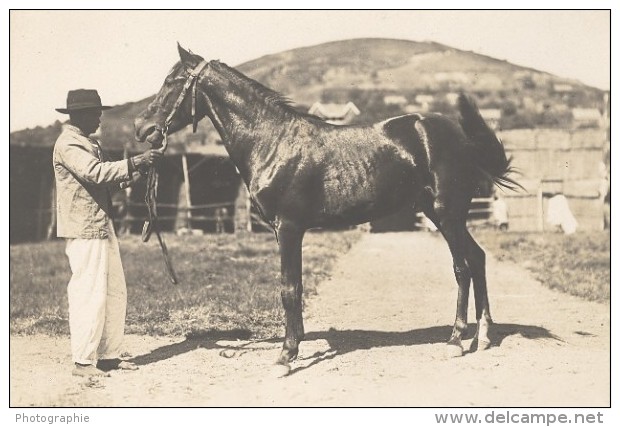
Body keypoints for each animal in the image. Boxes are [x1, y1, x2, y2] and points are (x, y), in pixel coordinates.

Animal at [136, 45, 520, 374]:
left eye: (172, 82)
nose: (142, 128)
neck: (273, 141)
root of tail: (461, 138)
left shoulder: (288, 228)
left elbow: (289, 289)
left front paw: (285, 357)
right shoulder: (291, 231)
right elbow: (296, 287)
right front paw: (296, 345)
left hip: (448, 214)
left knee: (462, 267)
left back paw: (456, 341)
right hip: (441, 215)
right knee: (478, 258)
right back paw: (484, 335)